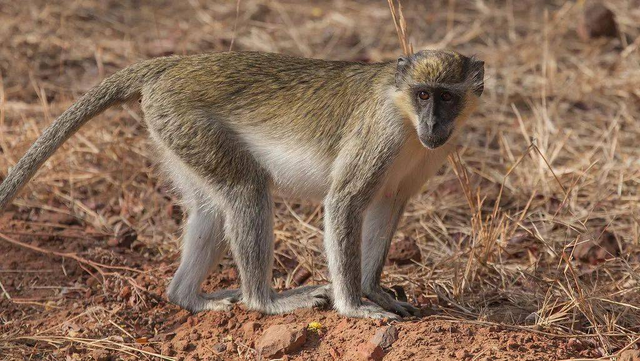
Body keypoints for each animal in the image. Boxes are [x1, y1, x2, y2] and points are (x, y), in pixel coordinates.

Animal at [0, 50, 480, 318]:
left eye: (446, 96)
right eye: (423, 94)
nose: (433, 124)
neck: (404, 115)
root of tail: (175, 65)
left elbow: (388, 205)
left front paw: (374, 291)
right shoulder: (380, 133)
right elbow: (344, 202)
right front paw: (354, 306)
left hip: (175, 133)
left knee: (212, 208)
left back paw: (188, 297)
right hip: (186, 120)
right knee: (246, 190)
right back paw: (263, 301)